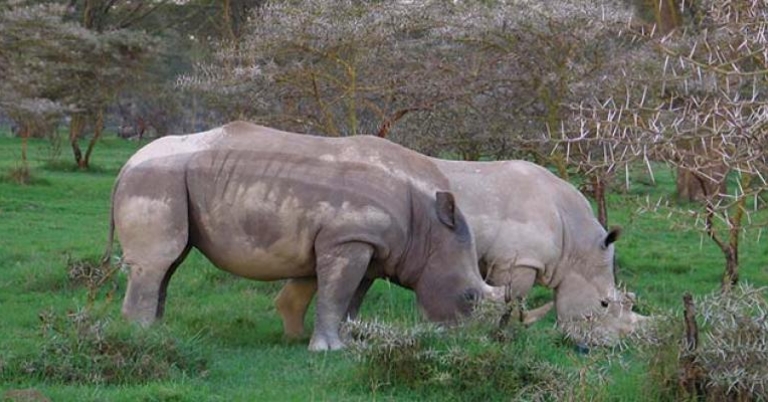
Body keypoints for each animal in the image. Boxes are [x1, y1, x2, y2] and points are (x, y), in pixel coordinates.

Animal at [105, 121, 505, 351]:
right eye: (469, 296)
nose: (478, 343)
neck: (428, 226)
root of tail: (126, 164)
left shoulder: (366, 244)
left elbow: (347, 297)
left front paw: (347, 341)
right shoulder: (349, 239)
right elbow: (336, 293)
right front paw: (329, 350)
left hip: (171, 179)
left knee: (171, 263)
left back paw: (156, 332)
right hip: (157, 178)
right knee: (159, 262)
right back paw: (144, 338)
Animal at [276, 159, 648, 344]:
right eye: (604, 304)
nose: (612, 345)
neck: (576, 246)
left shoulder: (488, 260)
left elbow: (490, 295)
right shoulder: (518, 261)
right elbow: (512, 299)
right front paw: (501, 336)